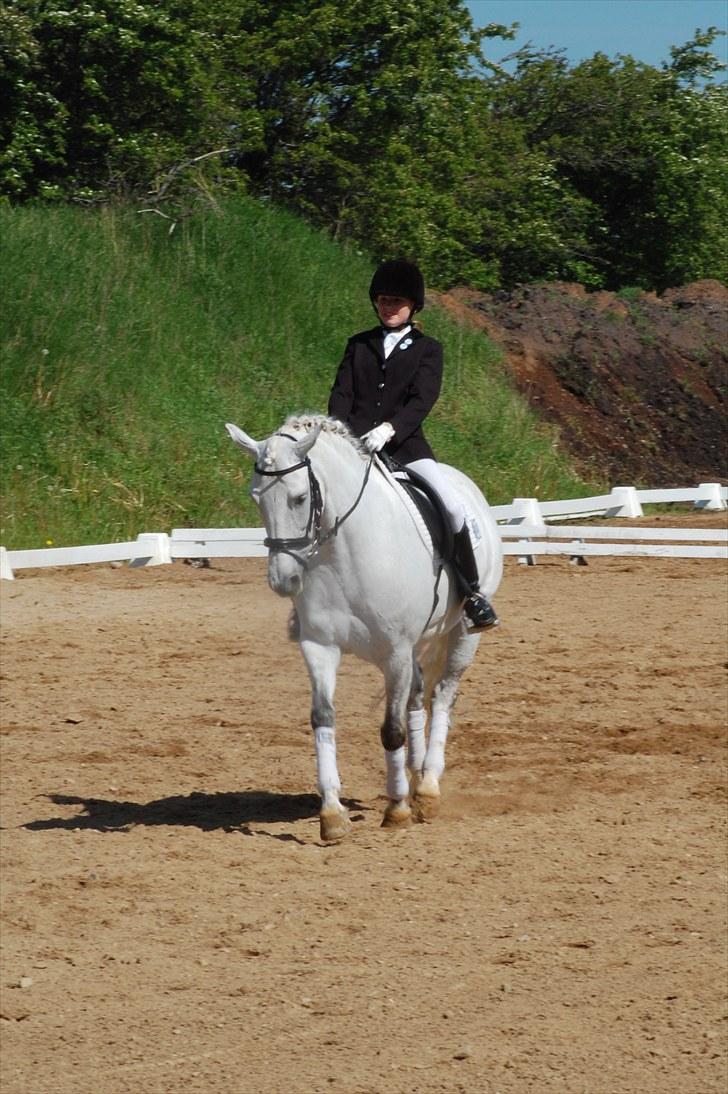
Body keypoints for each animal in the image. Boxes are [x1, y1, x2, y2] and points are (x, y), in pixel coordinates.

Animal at [226, 414, 503, 841]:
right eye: (256, 499)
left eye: (299, 498)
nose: (283, 581)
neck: (343, 553)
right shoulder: (320, 646)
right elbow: (323, 718)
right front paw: (332, 815)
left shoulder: (395, 651)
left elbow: (391, 730)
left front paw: (397, 810)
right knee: (417, 697)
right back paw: (415, 775)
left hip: (461, 634)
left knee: (442, 696)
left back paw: (427, 787)